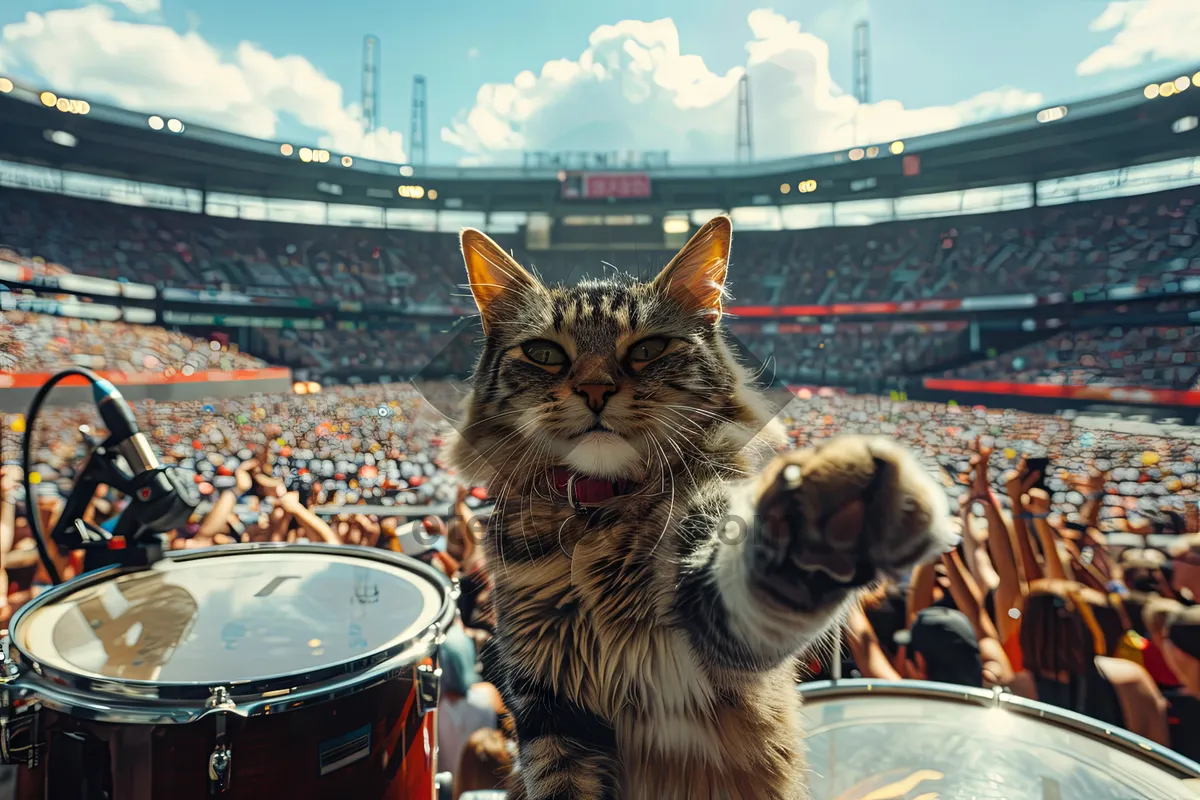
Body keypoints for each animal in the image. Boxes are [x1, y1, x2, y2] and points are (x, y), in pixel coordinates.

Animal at [451, 215, 955, 796]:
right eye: (546, 354)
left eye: (648, 349)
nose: (595, 390)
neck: (600, 510)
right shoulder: (549, 705)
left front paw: (831, 504)